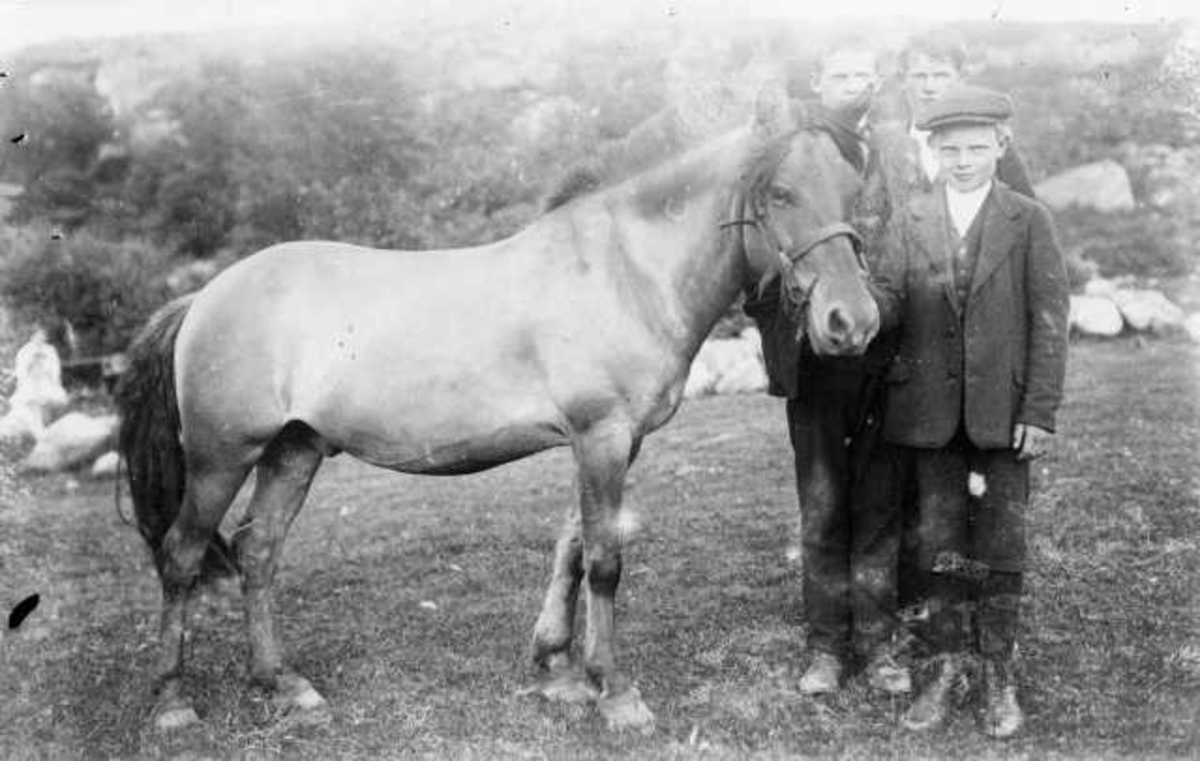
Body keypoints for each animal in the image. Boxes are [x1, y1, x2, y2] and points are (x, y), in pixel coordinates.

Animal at [112, 85, 883, 729]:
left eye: (853, 188)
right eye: (780, 191)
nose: (853, 322)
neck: (621, 269)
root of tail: (203, 297)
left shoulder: (610, 441)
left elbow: (573, 546)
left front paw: (559, 669)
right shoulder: (601, 435)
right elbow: (605, 560)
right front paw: (616, 693)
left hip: (293, 450)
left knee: (258, 550)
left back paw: (283, 683)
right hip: (221, 456)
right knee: (182, 556)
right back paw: (173, 703)